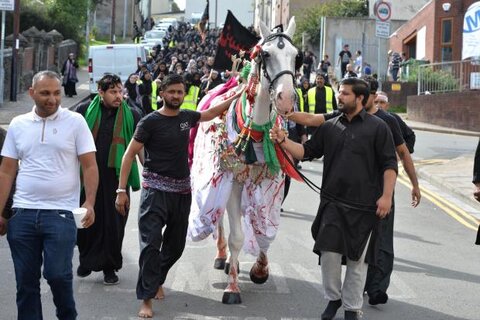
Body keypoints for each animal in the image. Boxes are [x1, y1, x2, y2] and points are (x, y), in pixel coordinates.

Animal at [188, 18, 298, 304]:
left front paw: (260, 268)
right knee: (222, 220)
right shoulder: (234, 181)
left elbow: (263, 229)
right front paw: (232, 288)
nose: (285, 98)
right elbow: (237, 236)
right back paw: (222, 257)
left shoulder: (270, 182)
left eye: (296, 56)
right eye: (266, 54)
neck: (255, 132)